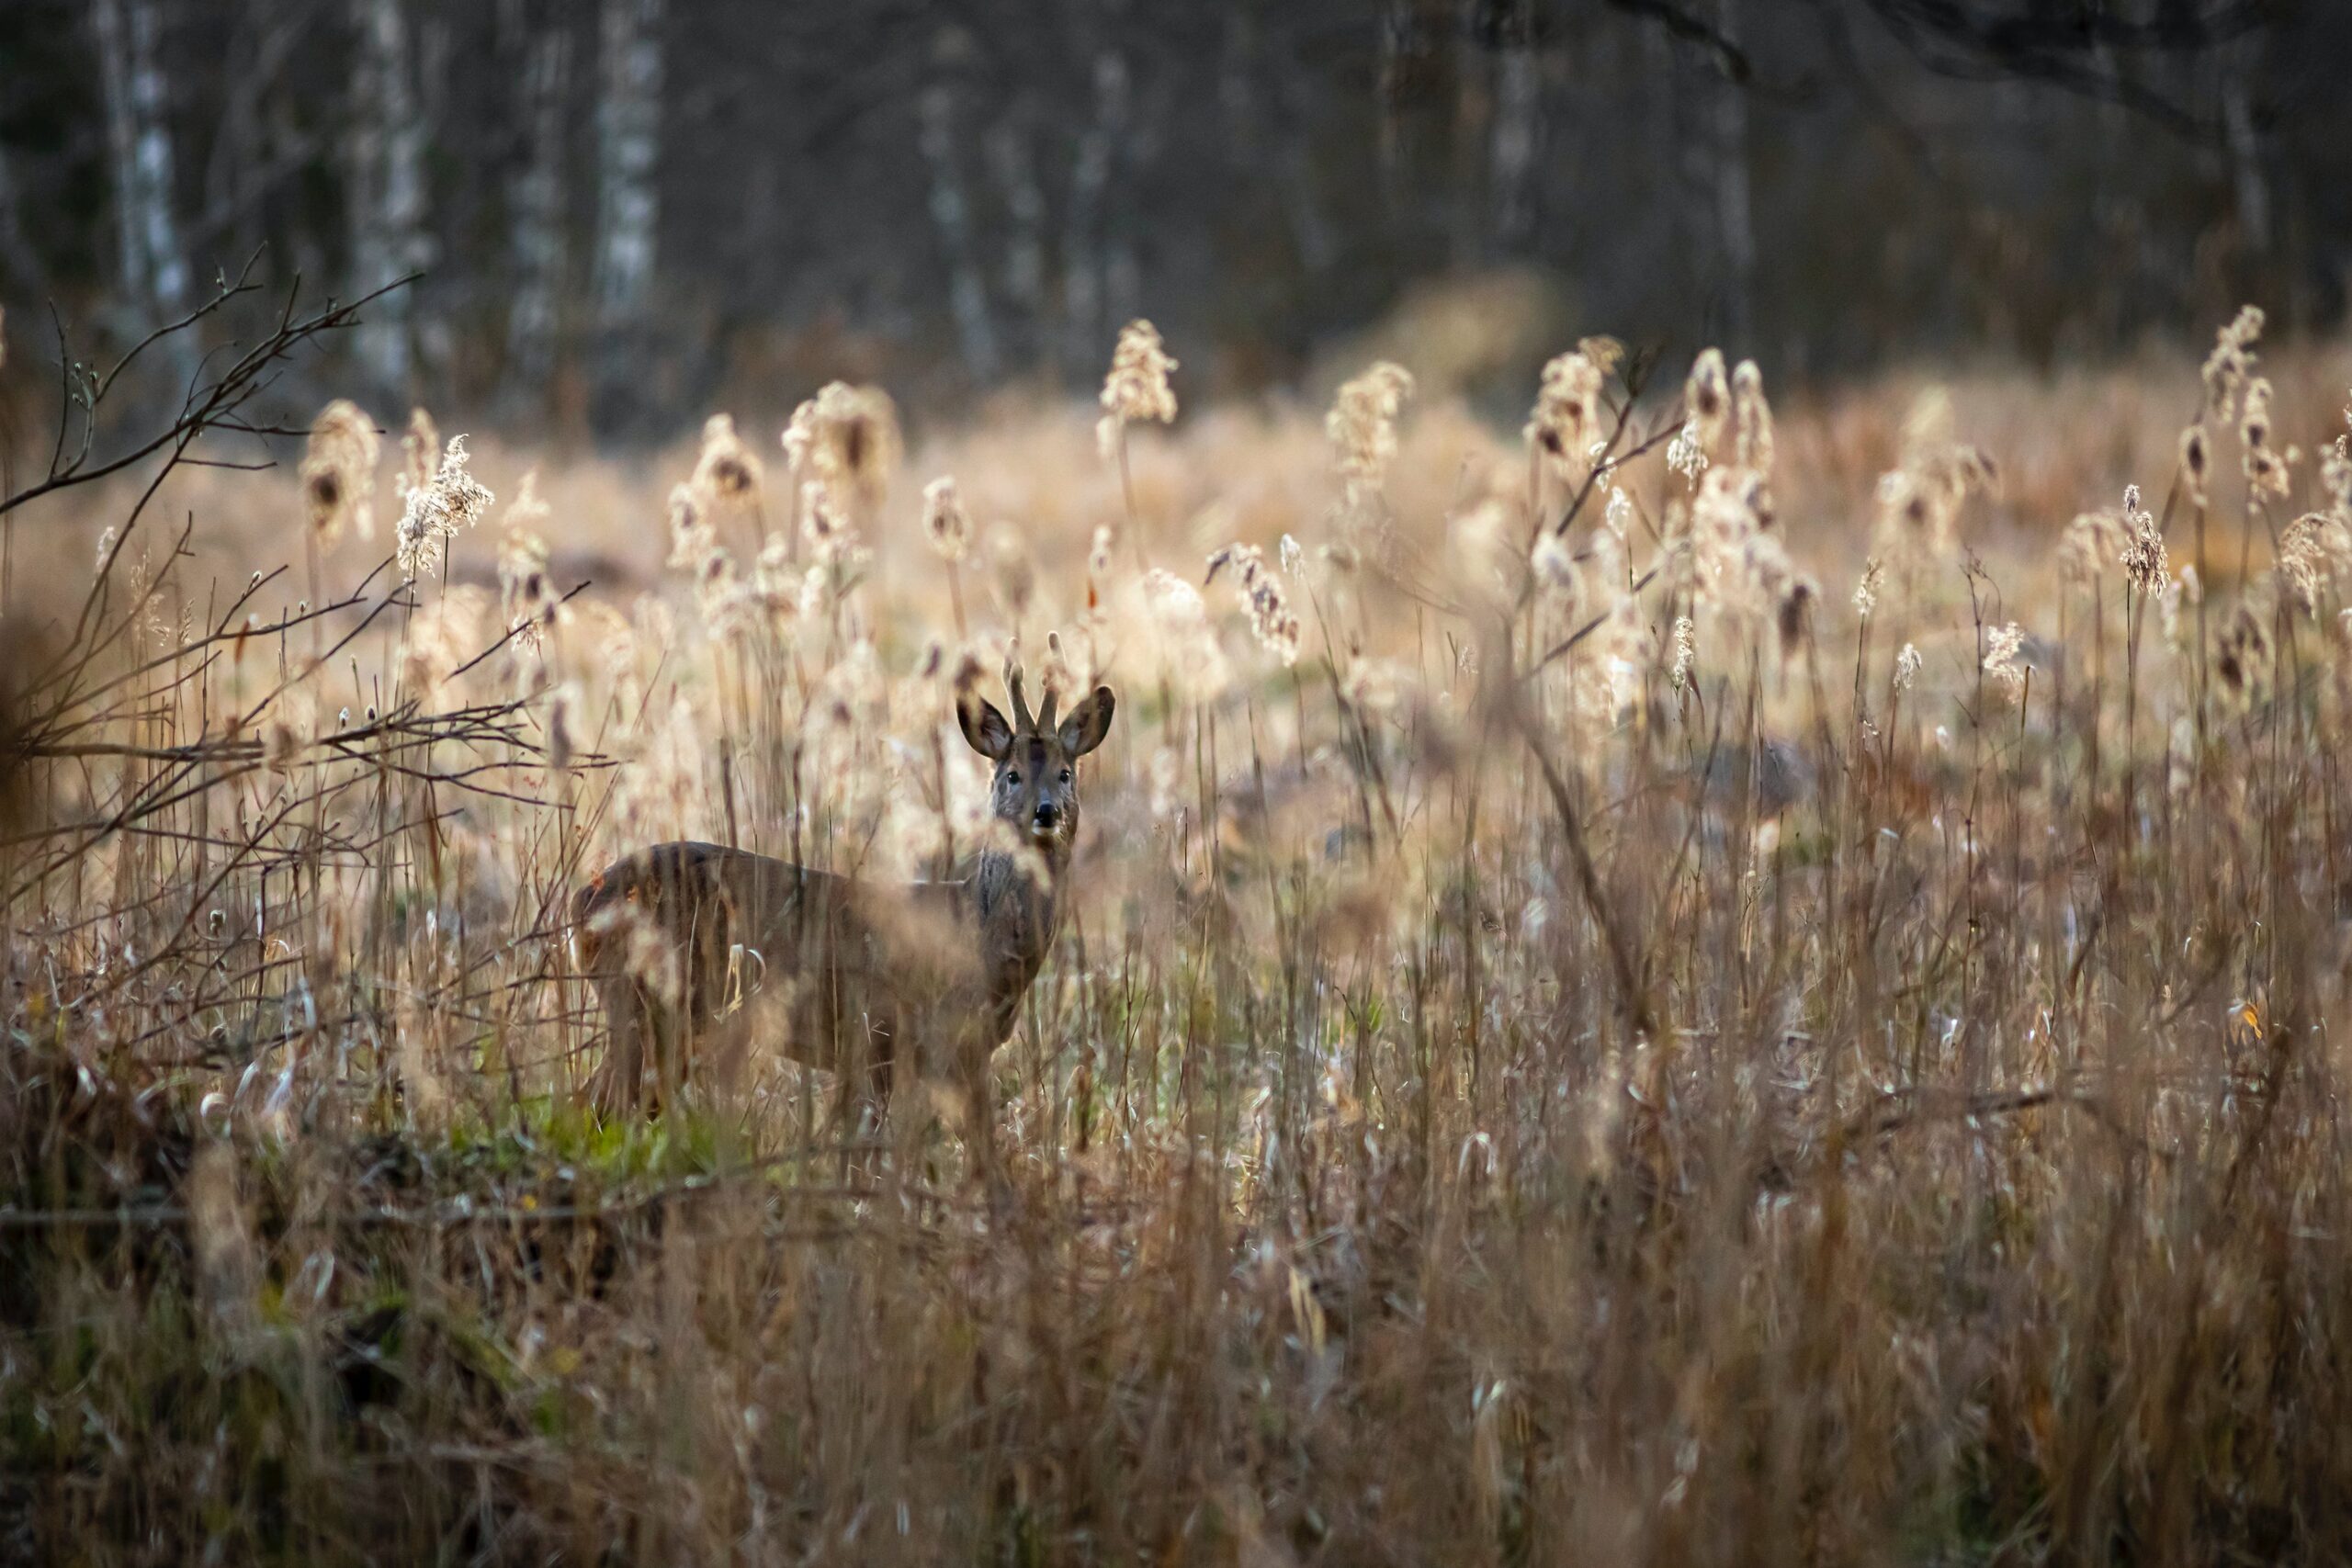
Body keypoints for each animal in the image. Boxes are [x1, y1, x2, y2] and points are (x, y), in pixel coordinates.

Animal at [573, 667, 1114, 1161]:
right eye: (1012, 774)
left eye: (1065, 773)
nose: (1046, 812)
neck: (978, 935)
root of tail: (582, 904)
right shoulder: (881, 1032)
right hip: (646, 1005)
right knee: (596, 1107)